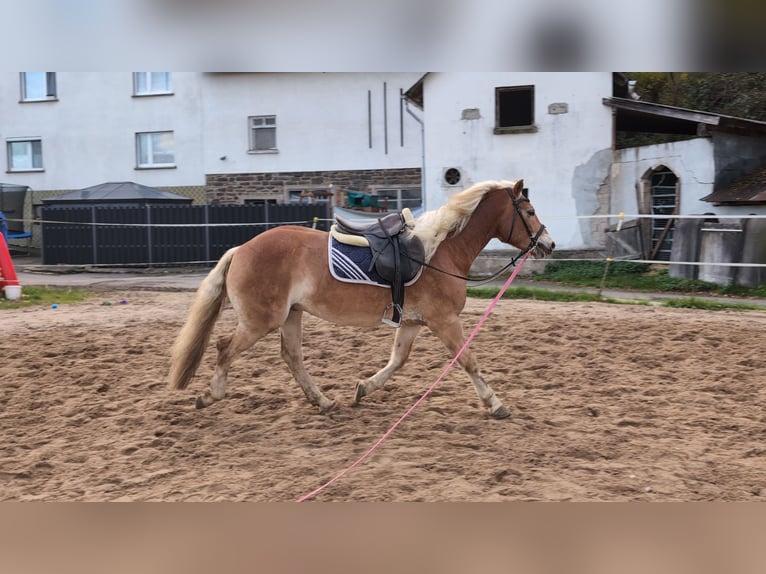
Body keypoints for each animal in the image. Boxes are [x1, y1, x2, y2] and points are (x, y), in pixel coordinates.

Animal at [171, 179, 560, 418]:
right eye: (528, 212)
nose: (549, 243)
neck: (438, 251)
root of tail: (241, 249)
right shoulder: (444, 321)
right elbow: (468, 361)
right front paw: (496, 405)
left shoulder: (413, 322)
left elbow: (397, 361)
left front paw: (363, 389)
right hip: (260, 321)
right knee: (224, 348)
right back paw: (210, 396)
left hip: (291, 315)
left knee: (292, 358)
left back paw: (323, 401)